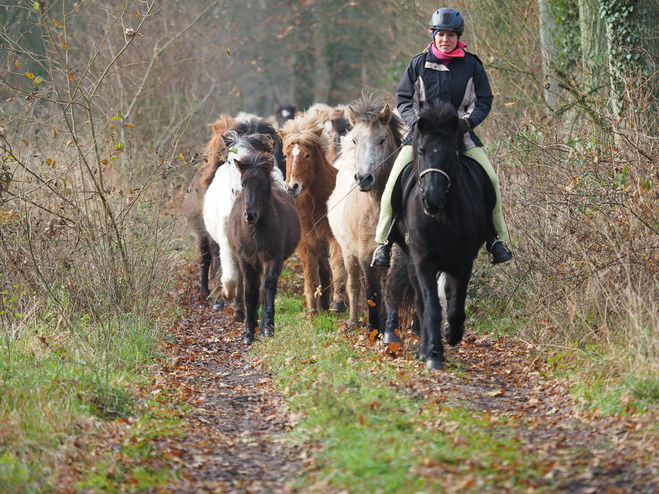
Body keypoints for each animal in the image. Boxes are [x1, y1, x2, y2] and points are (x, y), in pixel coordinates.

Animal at [227, 151, 300, 344]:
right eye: (243, 184)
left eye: (264, 185)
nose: (250, 215)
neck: (256, 234)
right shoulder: (246, 262)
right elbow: (250, 293)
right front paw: (248, 333)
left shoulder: (273, 258)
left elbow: (267, 287)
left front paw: (267, 328)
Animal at [384, 100, 498, 368]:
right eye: (421, 151)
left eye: (451, 154)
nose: (431, 201)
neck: (443, 217)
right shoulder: (422, 259)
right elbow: (431, 306)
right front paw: (434, 354)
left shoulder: (463, 261)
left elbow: (455, 306)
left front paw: (451, 334)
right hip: (408, 257)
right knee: (421, 301)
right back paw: (423, 349)